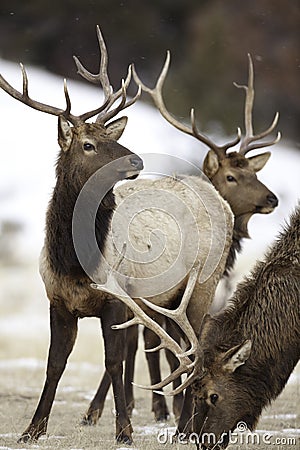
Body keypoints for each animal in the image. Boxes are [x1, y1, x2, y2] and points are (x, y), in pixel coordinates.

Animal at [0, 27, 144, 442]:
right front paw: (33, 429)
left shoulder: (113, 300)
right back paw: (105, 409)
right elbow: (54, 365)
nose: (137, 159)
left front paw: (124, 431)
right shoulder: (58, 302)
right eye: (88, 144)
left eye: (112, 138)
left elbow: (112, 360)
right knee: (135, 342)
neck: (75, 261)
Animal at [82, 53, 282, 428]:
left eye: (254, 171)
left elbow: (149, 340)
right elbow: (154, 341)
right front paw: (160, 406)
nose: (272, 199)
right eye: (231, 176)